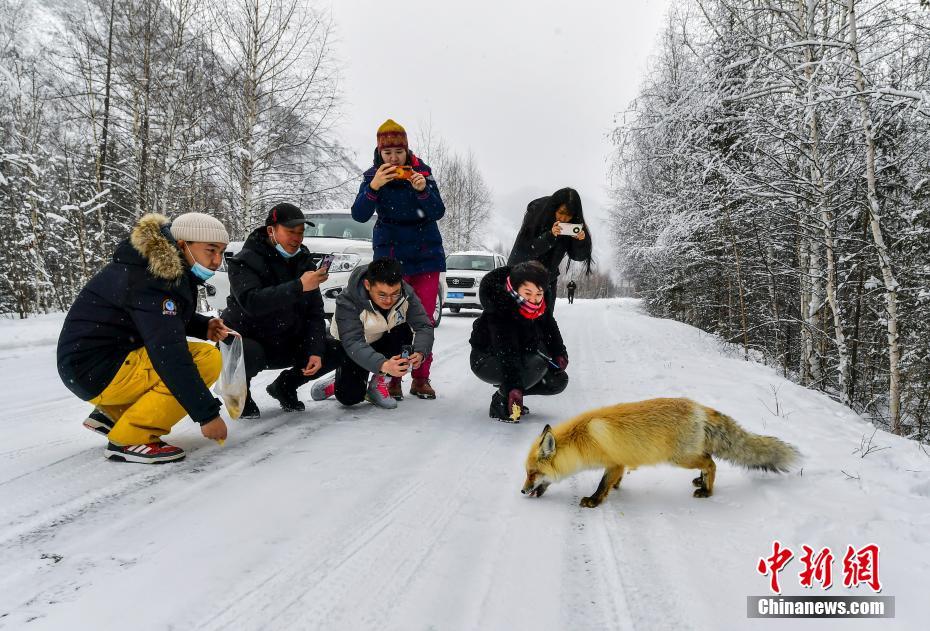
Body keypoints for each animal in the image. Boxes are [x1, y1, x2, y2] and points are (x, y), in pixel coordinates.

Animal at [520, 398, 796, 506]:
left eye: (533, 473)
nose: (522, 491)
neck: (582, 440)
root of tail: (699, 407)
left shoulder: (614, 462)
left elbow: (602, 484)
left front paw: (594, 501)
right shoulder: (620, 464)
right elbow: (614, 481)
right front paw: (616, 488)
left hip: (681, 458)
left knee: (712, 463)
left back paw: (707, 490)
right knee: (708, 462)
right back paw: (701, 481)